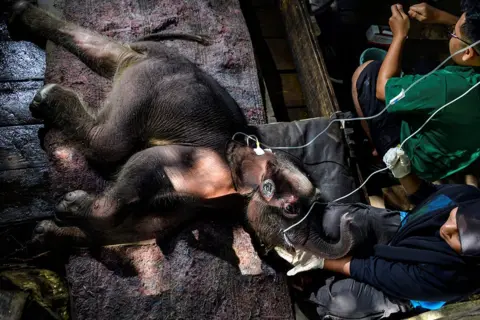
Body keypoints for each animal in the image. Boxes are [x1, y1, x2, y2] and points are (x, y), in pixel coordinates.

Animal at [8, 0, 398, 260]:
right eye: (290, 209)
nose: (353, 220)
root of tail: (147, 51)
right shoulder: (206, 163)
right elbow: (147, 163)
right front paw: (69, 204)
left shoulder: (194, 204)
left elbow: (146, 227)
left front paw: (44, 235)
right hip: (148, 87)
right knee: (109, 143)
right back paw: (45, 96)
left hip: (138, 72)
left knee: (100, 52)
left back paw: (21, 16)